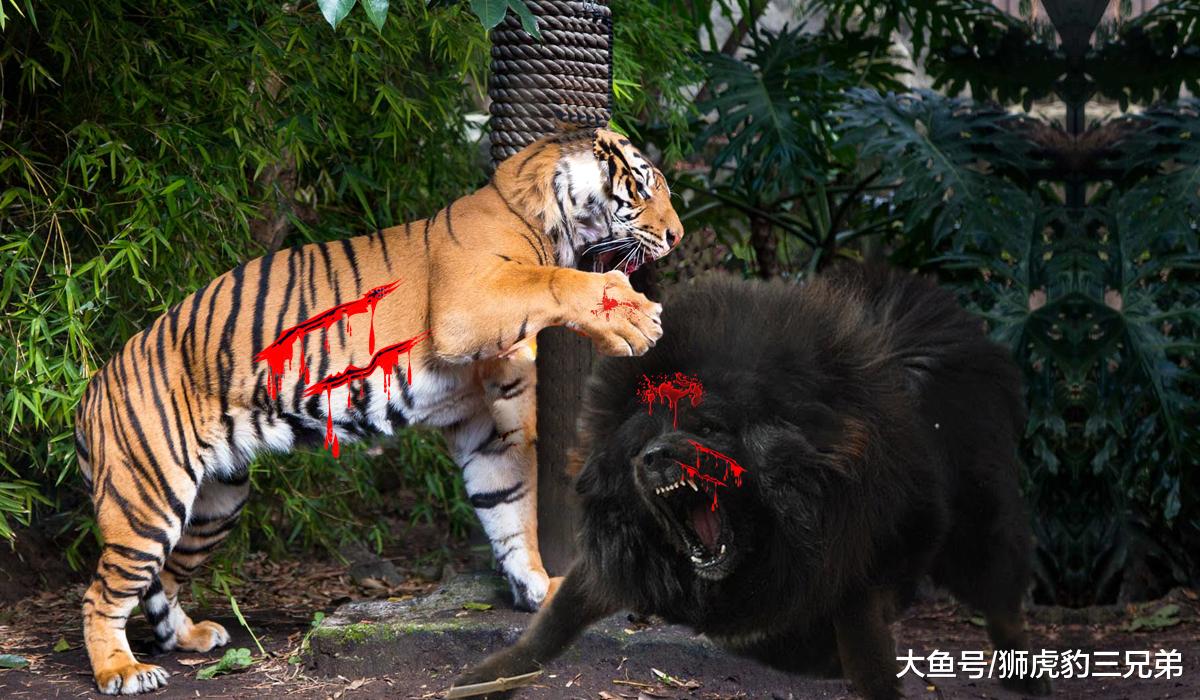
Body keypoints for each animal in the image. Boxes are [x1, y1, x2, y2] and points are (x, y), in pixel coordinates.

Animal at [73, 127, 683, 695]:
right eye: (645, 185)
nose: (676, 235)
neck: (543, 219)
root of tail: (91, 389)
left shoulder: (492, 425)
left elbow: (508, 510)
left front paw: (538, 587)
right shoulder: (468, 303)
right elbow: (558, 281)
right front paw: (631, 316)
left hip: (216, 502)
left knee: (163, 581)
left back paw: (191, 636)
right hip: (147, 501)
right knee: (101, 594)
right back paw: (122, 670)